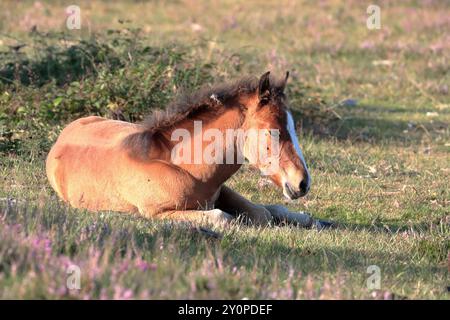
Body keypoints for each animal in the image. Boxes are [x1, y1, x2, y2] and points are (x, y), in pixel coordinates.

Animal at [45, 71, 326, 229]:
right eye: (272, 131)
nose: (302, 183)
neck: (184, 167)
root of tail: (65, 131)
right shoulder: (158, 213)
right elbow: (224, 217)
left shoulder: (222, 191)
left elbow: (264, 212)